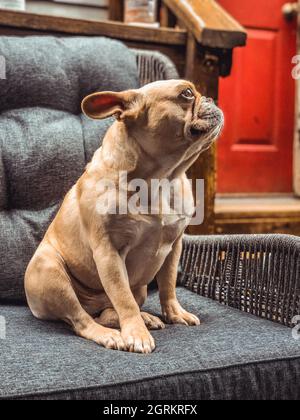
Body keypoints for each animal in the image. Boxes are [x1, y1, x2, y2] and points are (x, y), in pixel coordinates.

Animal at [25, 80, 223, 352]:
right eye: (186, 93)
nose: (213, 99)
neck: (161, 178)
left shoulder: (174, 246)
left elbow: (168, 285)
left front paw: (174, 313)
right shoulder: (109, 252)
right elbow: (123, 298)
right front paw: (136, 335)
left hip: (139, 288)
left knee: (110, 311)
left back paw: (145, 318)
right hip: (50, 272)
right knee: (83, 320)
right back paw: (110, 334)